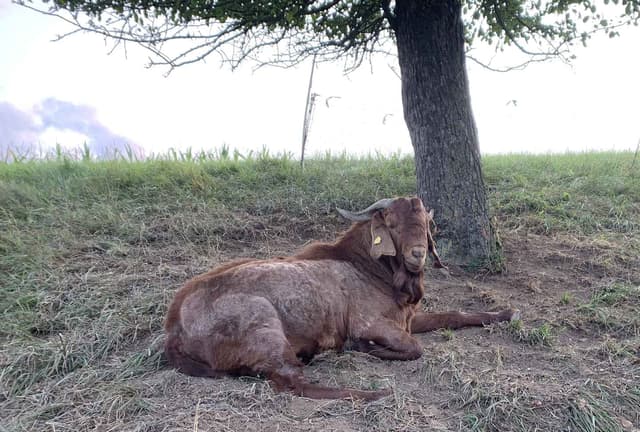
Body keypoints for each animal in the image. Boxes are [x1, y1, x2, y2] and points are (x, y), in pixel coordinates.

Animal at [164, 197, 518, 400]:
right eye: (391, 223)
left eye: (425, 223)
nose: (418, 254)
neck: (369, 267)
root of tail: (174, 328)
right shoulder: (369, 322)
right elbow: (413, 347)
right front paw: (361, 346)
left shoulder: (407, 317)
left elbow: (454, 315)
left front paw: (506, 313)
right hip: (263, 324)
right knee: (291, 382)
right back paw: (370, 391)